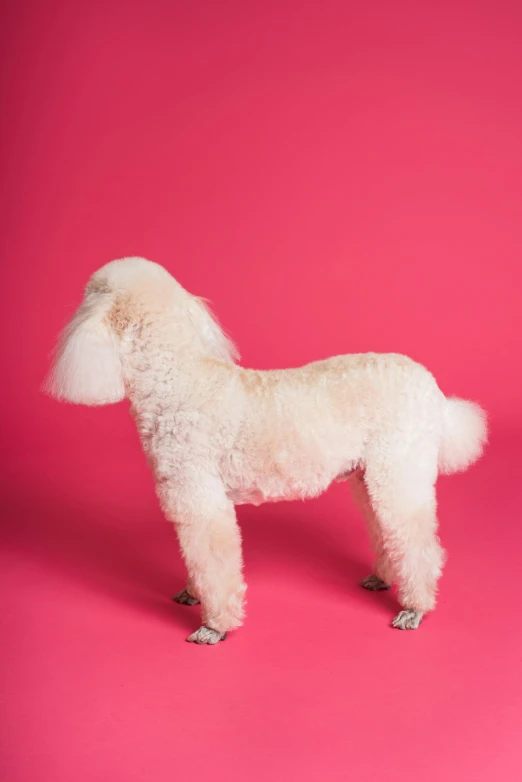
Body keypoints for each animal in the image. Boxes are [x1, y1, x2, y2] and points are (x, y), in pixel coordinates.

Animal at [43, 258, 484, 644]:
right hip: (370, 475)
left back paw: (415, 607)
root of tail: (431, 388)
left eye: (88, 294)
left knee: (417, 541)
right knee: (387, 529)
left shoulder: (201, 497)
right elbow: (195, 561)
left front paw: (214, 626)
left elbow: (211, 559)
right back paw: (385, 578)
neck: (174, 377)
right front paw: (192, 593)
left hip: (400, 467)